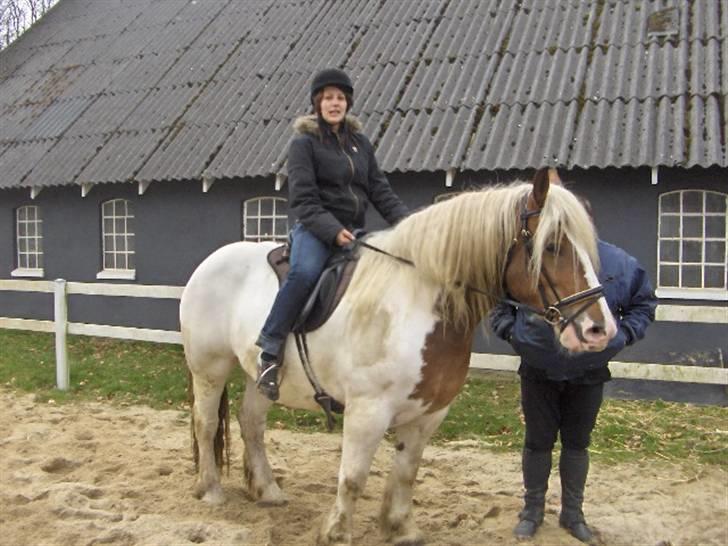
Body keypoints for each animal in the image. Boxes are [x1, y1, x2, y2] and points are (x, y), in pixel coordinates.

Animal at [181, 170, 616, 544]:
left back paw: (268, 490)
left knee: (251, 424)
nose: (601, 330)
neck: (419, 305)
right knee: (205, 423)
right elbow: (353, 477)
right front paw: (337, 534)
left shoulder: (428, 413)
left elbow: (407, 473)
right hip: (209, 369)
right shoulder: (367, 412)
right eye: (552, 245)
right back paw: (211, 490)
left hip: (260, 376)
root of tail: (208, 263)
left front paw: (401, 528)